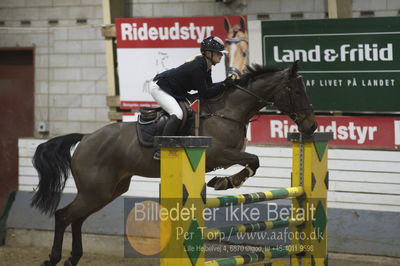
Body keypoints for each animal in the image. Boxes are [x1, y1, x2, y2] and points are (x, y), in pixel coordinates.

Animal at [31, 61, 316, 264]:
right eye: (295, 91)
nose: (312, 127)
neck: (228, 112)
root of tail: (86, 138)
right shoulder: (219, 154)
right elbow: (253, 161)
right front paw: (226, 182)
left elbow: (253, 162)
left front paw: (225, 180)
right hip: (96, 190)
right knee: (63, 215)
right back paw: (54, 258)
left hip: (108, 190)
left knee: (76, 219)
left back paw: (73, 258)